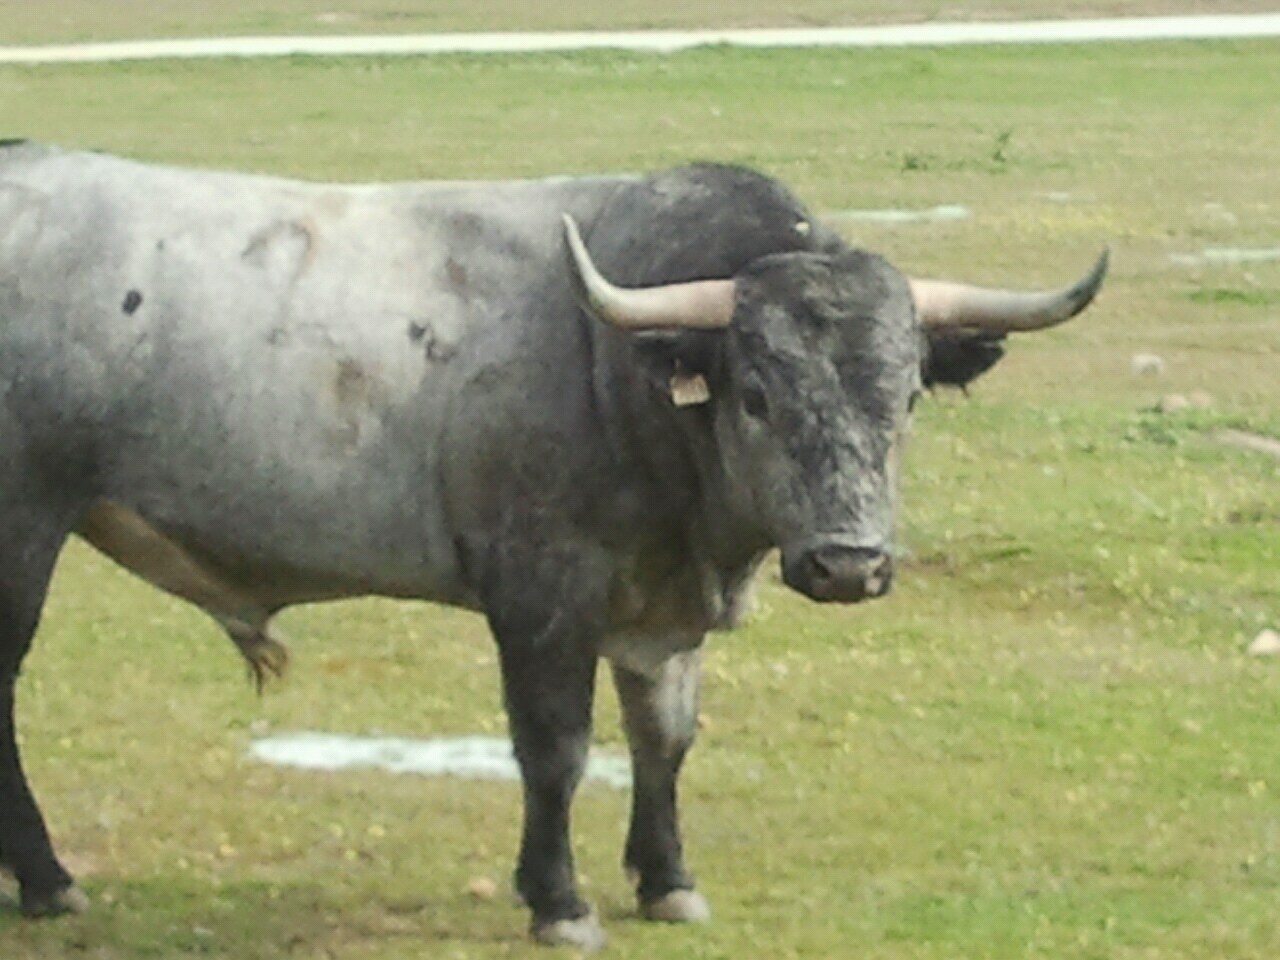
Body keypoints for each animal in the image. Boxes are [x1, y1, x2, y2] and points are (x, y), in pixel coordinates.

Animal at [0, 144, 1105, 957]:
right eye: (756, 392)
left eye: (907, 395)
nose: (848, 565)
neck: (618, 372)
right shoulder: (540, 597)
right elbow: (558, 749)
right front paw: (559, 900)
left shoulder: (660, 612)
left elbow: (663, 740)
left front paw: (668, 880)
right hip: (24, 528)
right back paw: (49, 880)